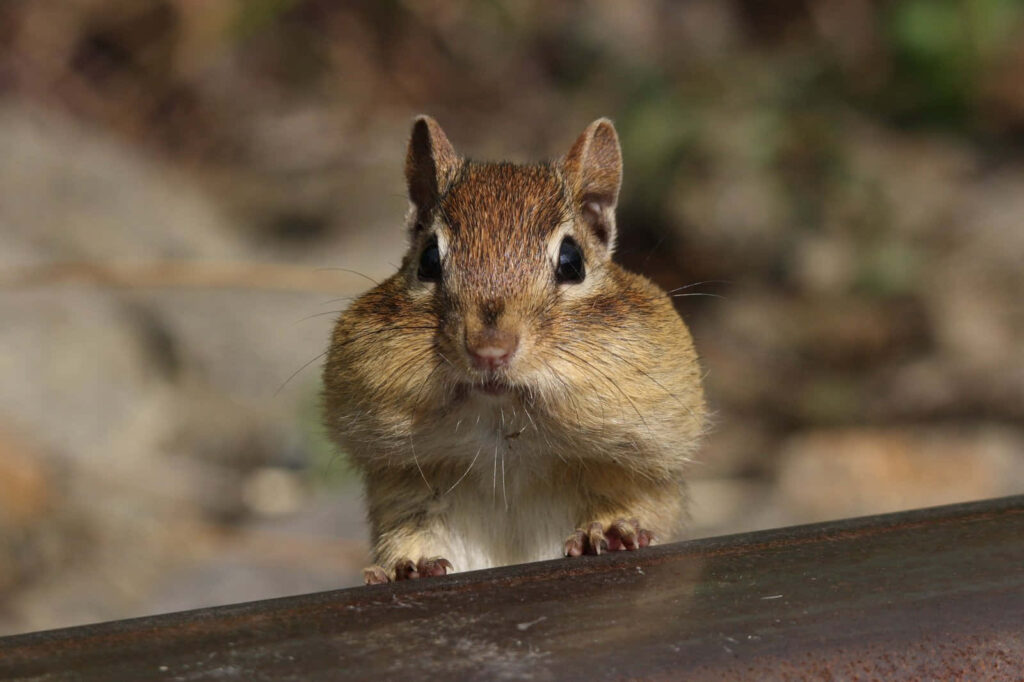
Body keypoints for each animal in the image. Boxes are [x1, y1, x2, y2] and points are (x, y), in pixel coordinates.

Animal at [322, 116, 707, 584]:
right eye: (429, 259)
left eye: (572, 261)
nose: (490, 351)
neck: (506, 435)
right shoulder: (408, 491)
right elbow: (411, 533)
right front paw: (406, 566)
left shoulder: (637, 469)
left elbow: (634, 506)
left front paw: (610, 530)